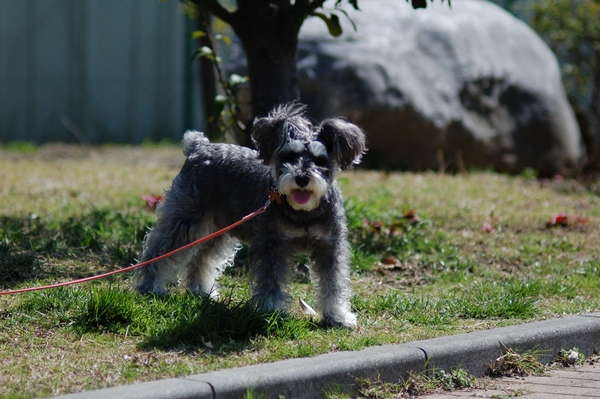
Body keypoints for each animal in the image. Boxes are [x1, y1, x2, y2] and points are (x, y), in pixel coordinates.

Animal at [134, 102, 368, 328]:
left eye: (320, 160)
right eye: (289, 156)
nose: (302, 178)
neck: (303, 213)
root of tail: (200, 146)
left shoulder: (330, 248)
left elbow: (333, 284)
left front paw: (338, 316)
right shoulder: (272, 245)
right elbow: (271, 280)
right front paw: (271, 310)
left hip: (219, 231)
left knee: (201, 259)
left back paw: (200, 289)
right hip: (184, 220)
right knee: (159, 251)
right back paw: (151, 287)